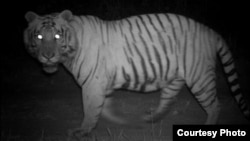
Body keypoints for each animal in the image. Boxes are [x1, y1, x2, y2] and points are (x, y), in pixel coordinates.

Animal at [23, 9, 250, 137]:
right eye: (40, 36)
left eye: (58, 36)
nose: (48, 56)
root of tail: (211, 32)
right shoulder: (101, 84)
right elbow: (105, 108)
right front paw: (118, 121)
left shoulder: (92, 83)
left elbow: (89, 109)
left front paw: (82, 131)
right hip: (176, 76)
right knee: (168, 99)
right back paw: (150, 117)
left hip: (199, 77)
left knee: (214, 106)